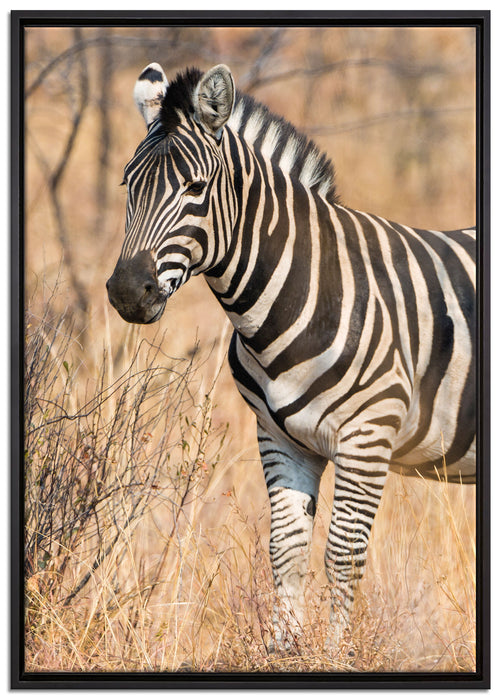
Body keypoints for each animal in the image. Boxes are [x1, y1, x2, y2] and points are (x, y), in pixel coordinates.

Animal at [106, 62, 476, 650]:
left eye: (195, 187)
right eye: (128, 185)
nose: (126, 292)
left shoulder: (367, 438)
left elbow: (342, 557)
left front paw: (335, 656)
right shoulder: (281, 438)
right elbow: (287, 550)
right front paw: (285, 650)